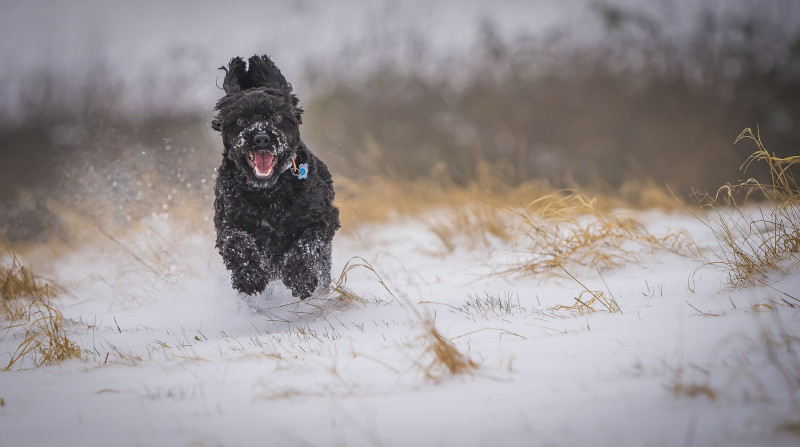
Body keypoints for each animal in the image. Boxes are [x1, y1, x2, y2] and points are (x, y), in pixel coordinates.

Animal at [211, 56, 340, 300]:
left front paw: (300, 279)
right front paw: (250, 277)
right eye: (241, 120)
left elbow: (306, 245)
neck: (268, 194)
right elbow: (237, 242)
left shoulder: (323, 217)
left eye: (277, 117)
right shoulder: (227, 221)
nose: (261, 137)